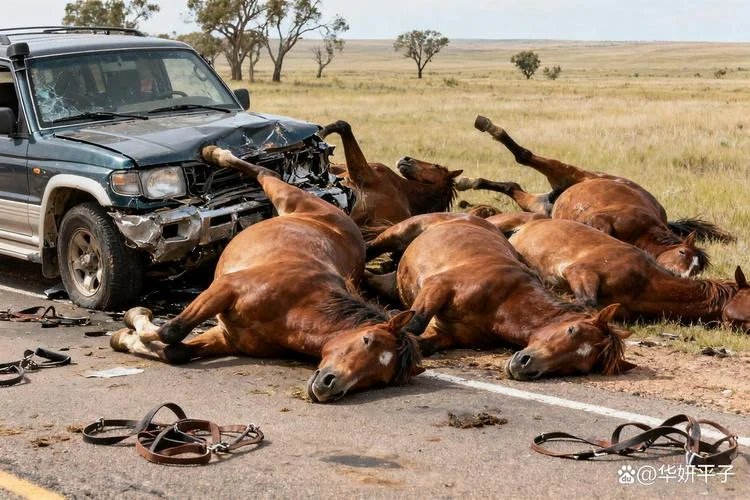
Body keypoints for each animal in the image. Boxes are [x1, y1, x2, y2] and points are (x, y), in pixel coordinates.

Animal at [110, 146, 424, 403]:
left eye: (380, 378)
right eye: (366, 340)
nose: (330, 386)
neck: (296, 306)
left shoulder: (227, 337)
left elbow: (175, 350)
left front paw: (124, 337)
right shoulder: (224, 289)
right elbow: (171, 331)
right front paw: (135, 316)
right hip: (289, 197)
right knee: (266, 173)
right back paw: (214, 152)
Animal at [365, 213, 635, 380]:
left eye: (579, 367)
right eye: (572, 330)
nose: (525, 367)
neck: (503, 302)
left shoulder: (445, 334)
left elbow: (420, 342)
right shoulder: (438, 286)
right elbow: (416, 323)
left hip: (392, 282)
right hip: (401, 231)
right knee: (370, 250)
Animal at [458, 115, 735, 275]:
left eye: (697, 271)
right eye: (682, 254)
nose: (680, 277)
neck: (645, 228)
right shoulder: (599, 221)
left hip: (539, 204)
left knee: (513, 185)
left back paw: (467, 183)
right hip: (569, 172)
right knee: (524, 156)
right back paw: (486, 127)